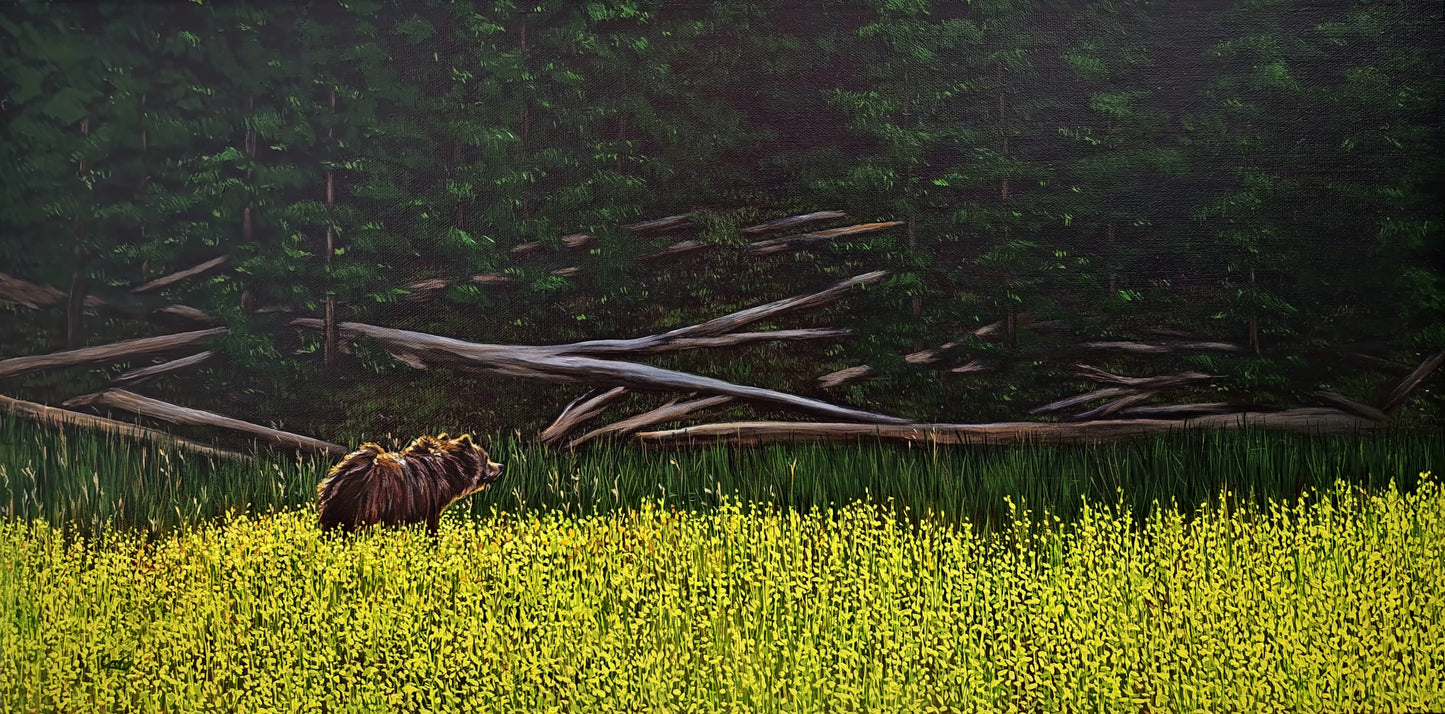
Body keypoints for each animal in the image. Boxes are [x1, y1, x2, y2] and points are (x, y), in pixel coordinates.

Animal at [316, 433, 504, 536]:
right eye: (486, 458)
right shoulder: (426, 501)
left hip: (337, 507)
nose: (501, 466)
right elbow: (430, 526)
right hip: (368, 505)